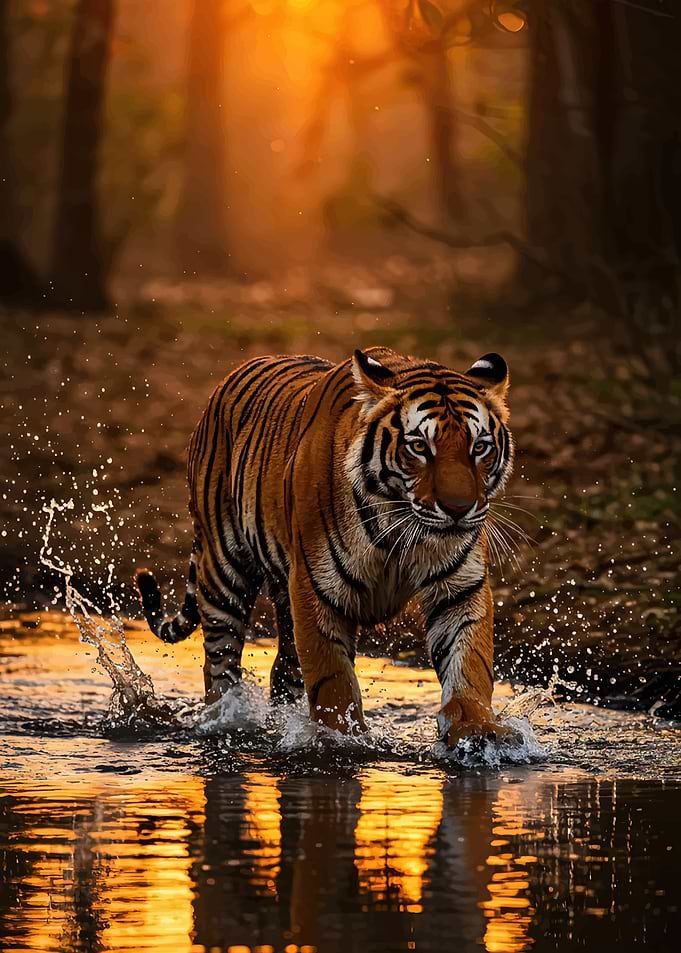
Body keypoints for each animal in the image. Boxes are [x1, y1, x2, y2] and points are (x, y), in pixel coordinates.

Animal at [135, 347, 515, 746]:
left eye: (480, 447)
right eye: (419, 447)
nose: (459, 509)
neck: (398, 526)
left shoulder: (459, 588)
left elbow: (469, 663)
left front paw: (478, 731)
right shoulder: (317, 590)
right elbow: (333, 681)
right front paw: (339, 740)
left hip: (283, 599)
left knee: (283, 669)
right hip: (224, 570)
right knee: (219, 664)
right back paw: (225, 720)